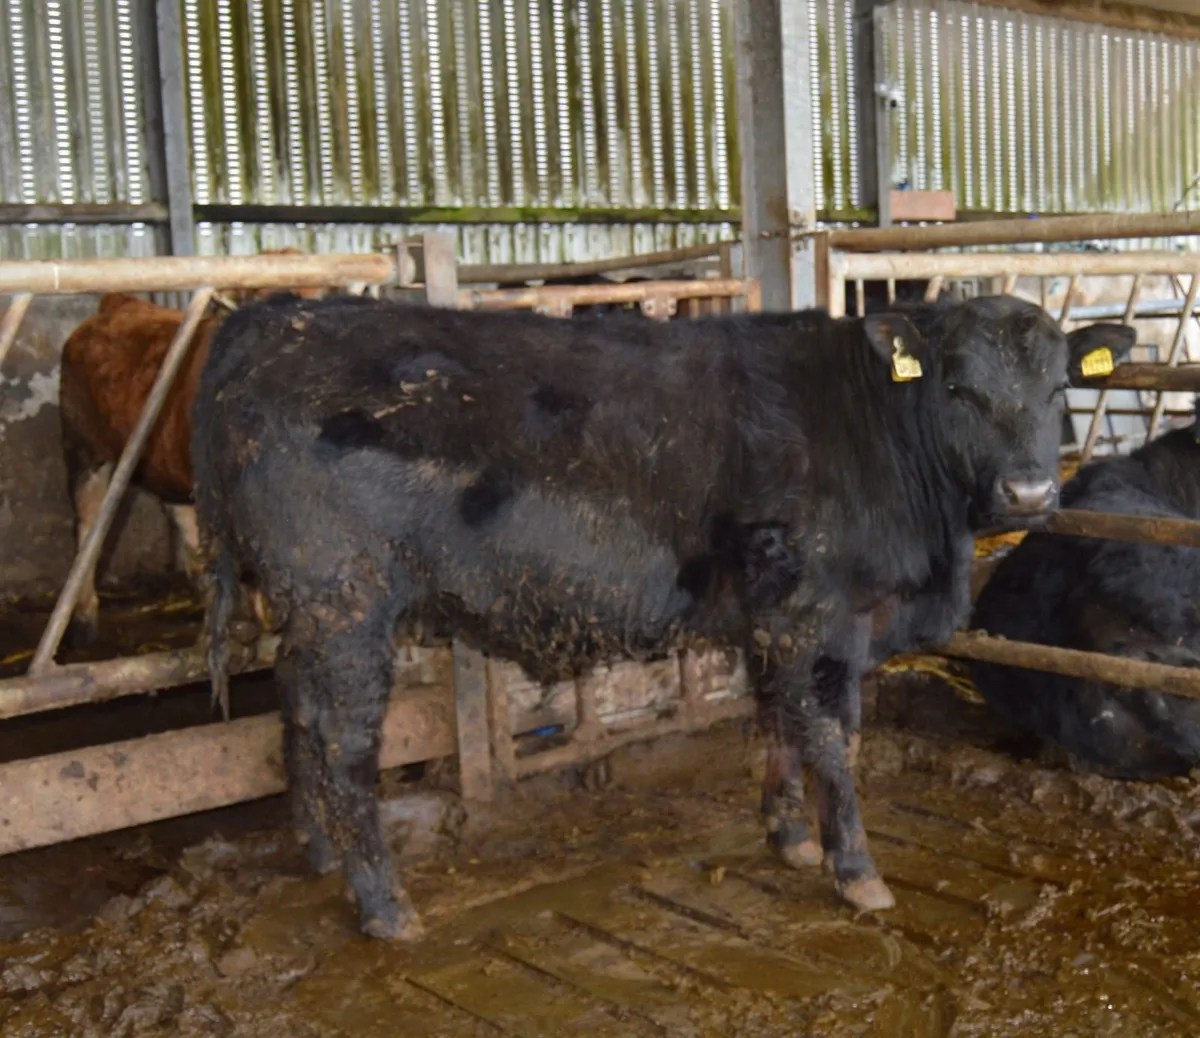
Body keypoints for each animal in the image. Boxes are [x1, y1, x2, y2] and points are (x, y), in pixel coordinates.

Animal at [191, 292, 1129, 940]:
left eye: (1059, 387)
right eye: (958, 387)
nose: (1032, 493)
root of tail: (276, 318)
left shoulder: (772, 608)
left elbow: (777, 719)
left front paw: (789, 833)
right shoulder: (819, 614)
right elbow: (833, 732)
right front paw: (854, 867)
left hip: (304, 609)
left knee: (294, 709)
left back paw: (318, 851)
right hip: (344, 600)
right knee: (344, 743)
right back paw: (384, 905)